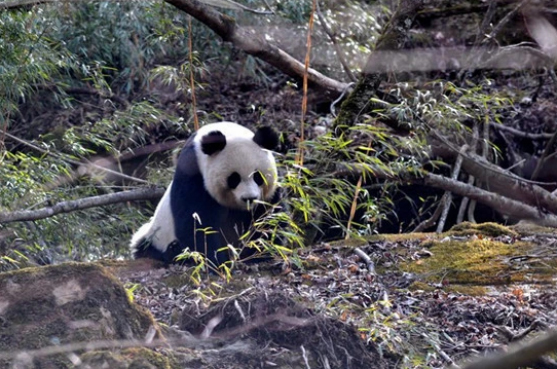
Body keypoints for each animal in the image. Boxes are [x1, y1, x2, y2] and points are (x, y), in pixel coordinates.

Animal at [131, 122, 282, 266]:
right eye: (234, 179)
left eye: (258, 176)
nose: (249, 198)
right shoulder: (192, 172)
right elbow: (197, 223)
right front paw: (217, 260)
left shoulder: (267, 194)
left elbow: (269, 217)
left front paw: (260, 252)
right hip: (155, 237)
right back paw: (174, 251)